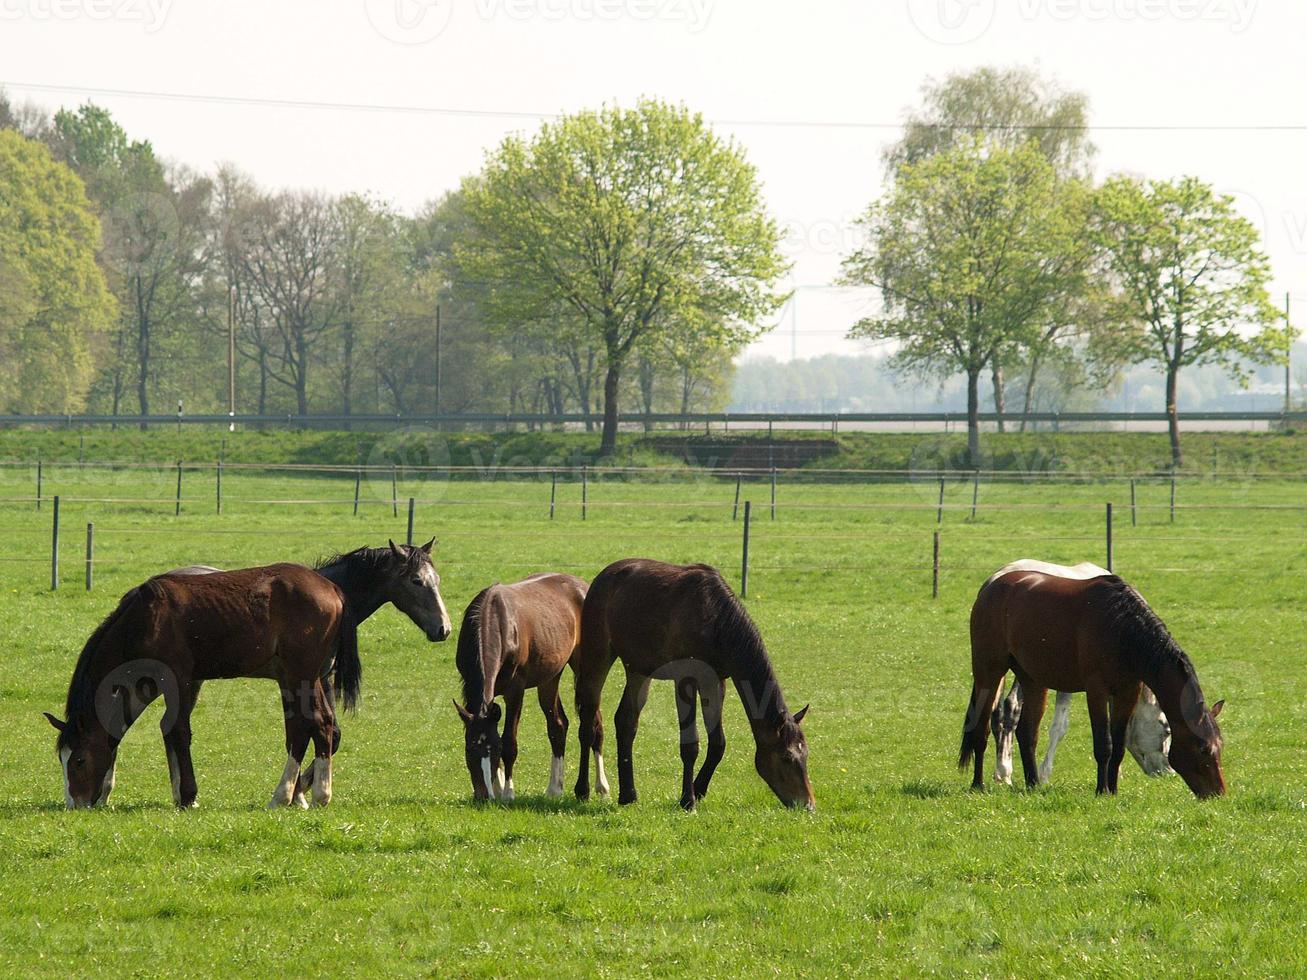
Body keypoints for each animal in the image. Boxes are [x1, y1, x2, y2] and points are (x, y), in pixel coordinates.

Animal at [44, 540, 454, 810]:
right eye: (418, 581)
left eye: (78, 761)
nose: (75, 804)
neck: (145, 618)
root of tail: (332, 591)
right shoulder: (160, 683)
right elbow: (140, 730)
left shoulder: (178, 678)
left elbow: (177, 730)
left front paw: (188, 796)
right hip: (297, 677)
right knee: (311, 726)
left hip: (299, 676)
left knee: (313, 725)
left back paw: (302, 794)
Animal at [454, 572, 588, 799]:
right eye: (469, 749)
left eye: (496, 750)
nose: (483, 796)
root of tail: (582, 585)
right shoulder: (470, 686)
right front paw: (497, 788)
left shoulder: (515, 691)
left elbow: (510, 741)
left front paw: (507, 792)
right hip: (550, 678)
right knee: (558, 725)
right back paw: (555, 789)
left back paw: (599, 788)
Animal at [575, 559, 810, 815]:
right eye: (786, 757)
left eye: (805, 754)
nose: (808, 804)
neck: (715, 621)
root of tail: (601, 578)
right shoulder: (685, 679)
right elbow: (690, 744)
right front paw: (688, 799)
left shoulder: (716, 680)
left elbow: (718, 743)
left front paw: (698, 789)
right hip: (597, 656)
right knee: (587, 724)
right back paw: (583, 790)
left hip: (638, 669)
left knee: (626, 721)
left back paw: (628, 795)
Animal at [988, 679, 1176, 789]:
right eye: (1167, 729)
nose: (1169, 772)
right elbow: (1059, 727)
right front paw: (1044, 773)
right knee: (1011, 704)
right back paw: (1004, 770)